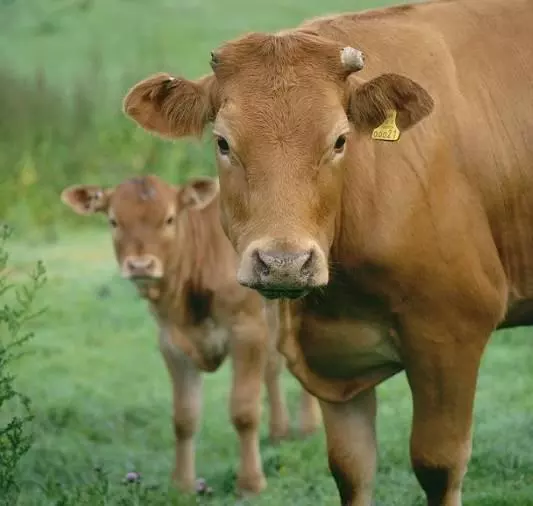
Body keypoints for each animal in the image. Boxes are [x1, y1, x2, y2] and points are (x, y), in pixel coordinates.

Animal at [60, 174, 322, 494]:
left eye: (169, 219)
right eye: (113, 221)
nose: (140, 265)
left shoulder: (246, 330)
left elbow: (244, 411)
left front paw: (250, 482)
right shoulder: (171, 342)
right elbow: (184, 417)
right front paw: (182, 484)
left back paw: (308, 426)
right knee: (273, 366)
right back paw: (280, 431)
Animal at [120, 0, 532, 504]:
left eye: (339, 140)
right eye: (223, 142)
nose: (284, 264)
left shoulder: (452, 334)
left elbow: (438, 465)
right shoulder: (334, 361)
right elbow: (351, 468)